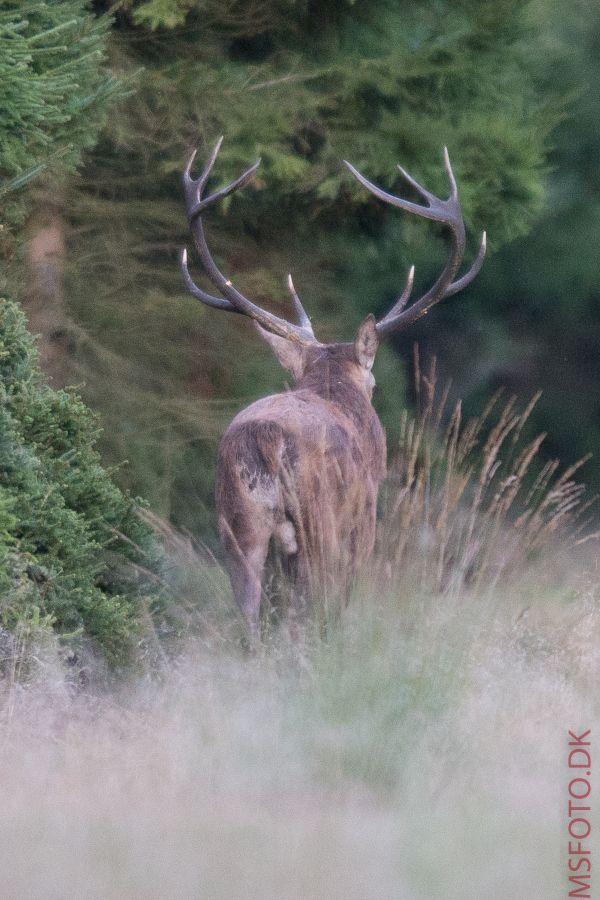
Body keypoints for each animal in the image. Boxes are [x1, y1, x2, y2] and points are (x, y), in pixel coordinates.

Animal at [180, 137, 486, 636]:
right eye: (375, 385)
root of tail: (265, 438)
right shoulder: (364, 523)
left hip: (237, 523)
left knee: (249, 617)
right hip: (319, 521)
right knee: (313, 609)